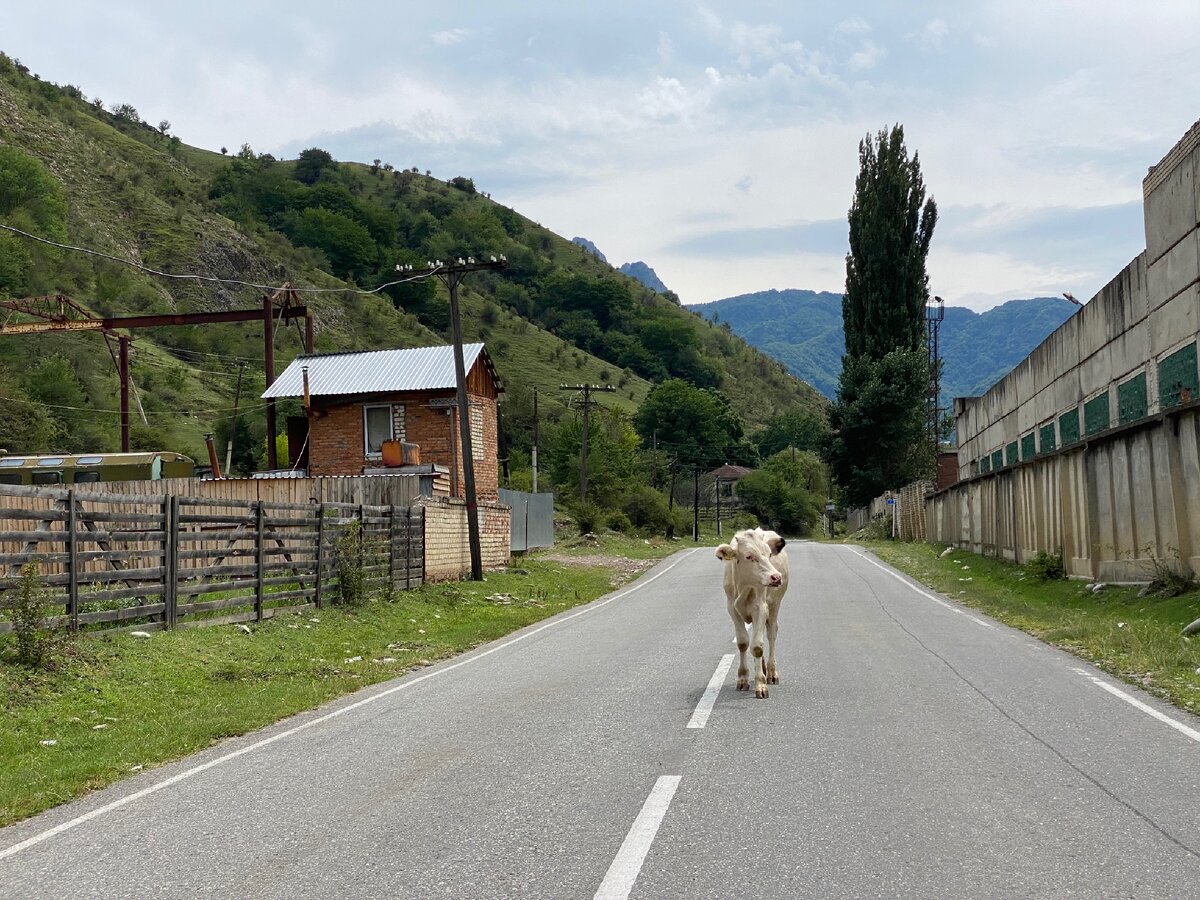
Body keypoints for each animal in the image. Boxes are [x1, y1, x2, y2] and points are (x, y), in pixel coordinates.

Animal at [710, 532, 787, 700]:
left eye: (769, 554)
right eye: (749, 556)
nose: (776, 577)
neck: (744, 586)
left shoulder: (760, 608)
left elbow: (757, 647)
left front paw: (761, 685)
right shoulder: (732, 609)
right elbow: (743, 643)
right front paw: (743, 679)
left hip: (775, 605)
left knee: (771, 634)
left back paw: (771, 672)